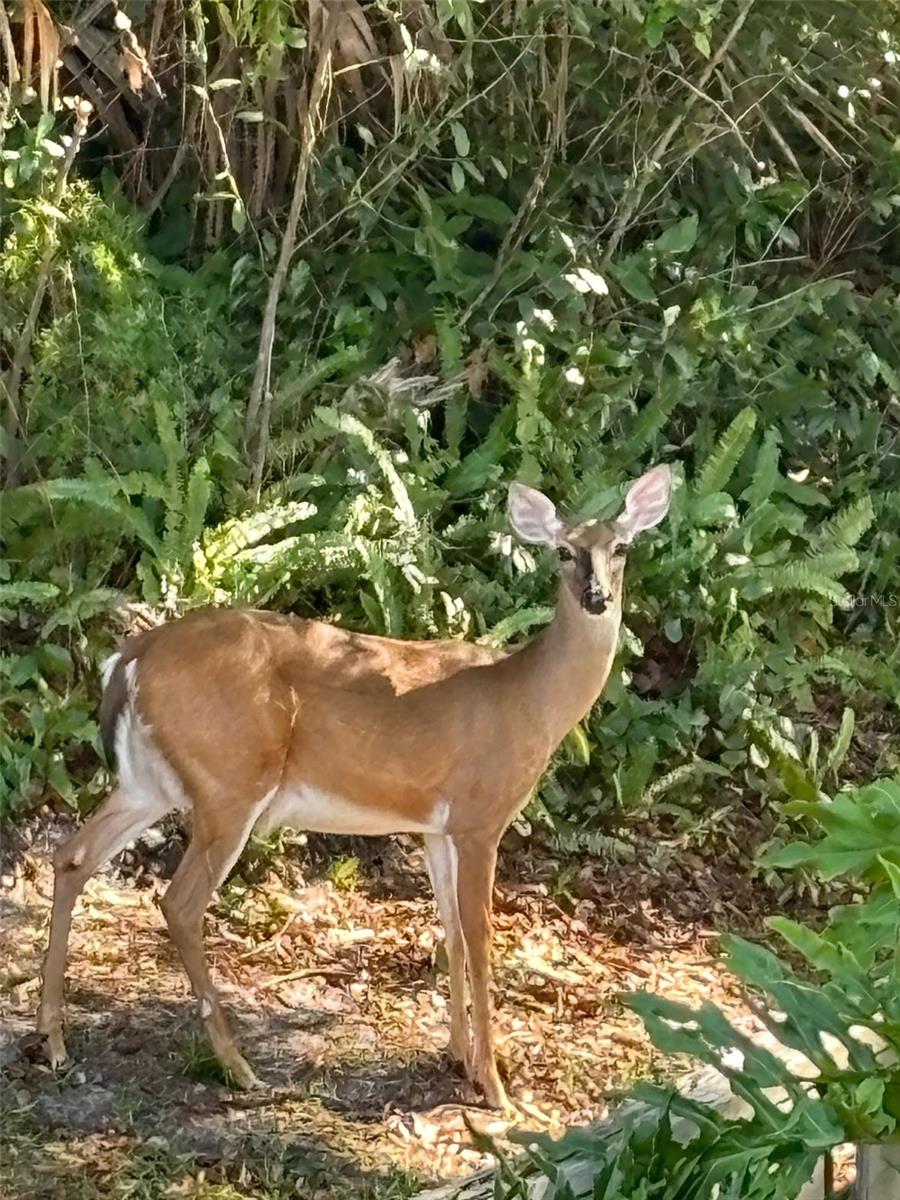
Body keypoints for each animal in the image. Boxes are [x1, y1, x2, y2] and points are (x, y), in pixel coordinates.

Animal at [38, 463, 672, 1108]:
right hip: (231, 779)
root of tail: (133, 655)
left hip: (150, 782)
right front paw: (495, 1085)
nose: (596, 597)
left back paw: (54, 1041)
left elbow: (451, 934)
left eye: (622, 547)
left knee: (72, 856)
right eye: (563, 551)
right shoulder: (480, 816)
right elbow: (481, 937)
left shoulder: (435, 826)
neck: (529, 699)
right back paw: (239, 1068)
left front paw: (457, 1056)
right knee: (179, 902)